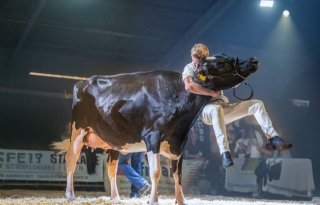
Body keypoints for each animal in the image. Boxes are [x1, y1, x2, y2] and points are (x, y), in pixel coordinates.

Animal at [53, 53, 258, 204]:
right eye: (221, 64)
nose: (254, 60)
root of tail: (83, 82)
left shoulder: (179, 142)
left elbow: (177, 175)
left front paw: (181, 200)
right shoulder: (152, 136)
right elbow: (156, 172)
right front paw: (153, 200)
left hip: (115, 141)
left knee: (111, 167)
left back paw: (116, 198)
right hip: (78, 131)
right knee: (71, 160)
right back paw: (70, 195)